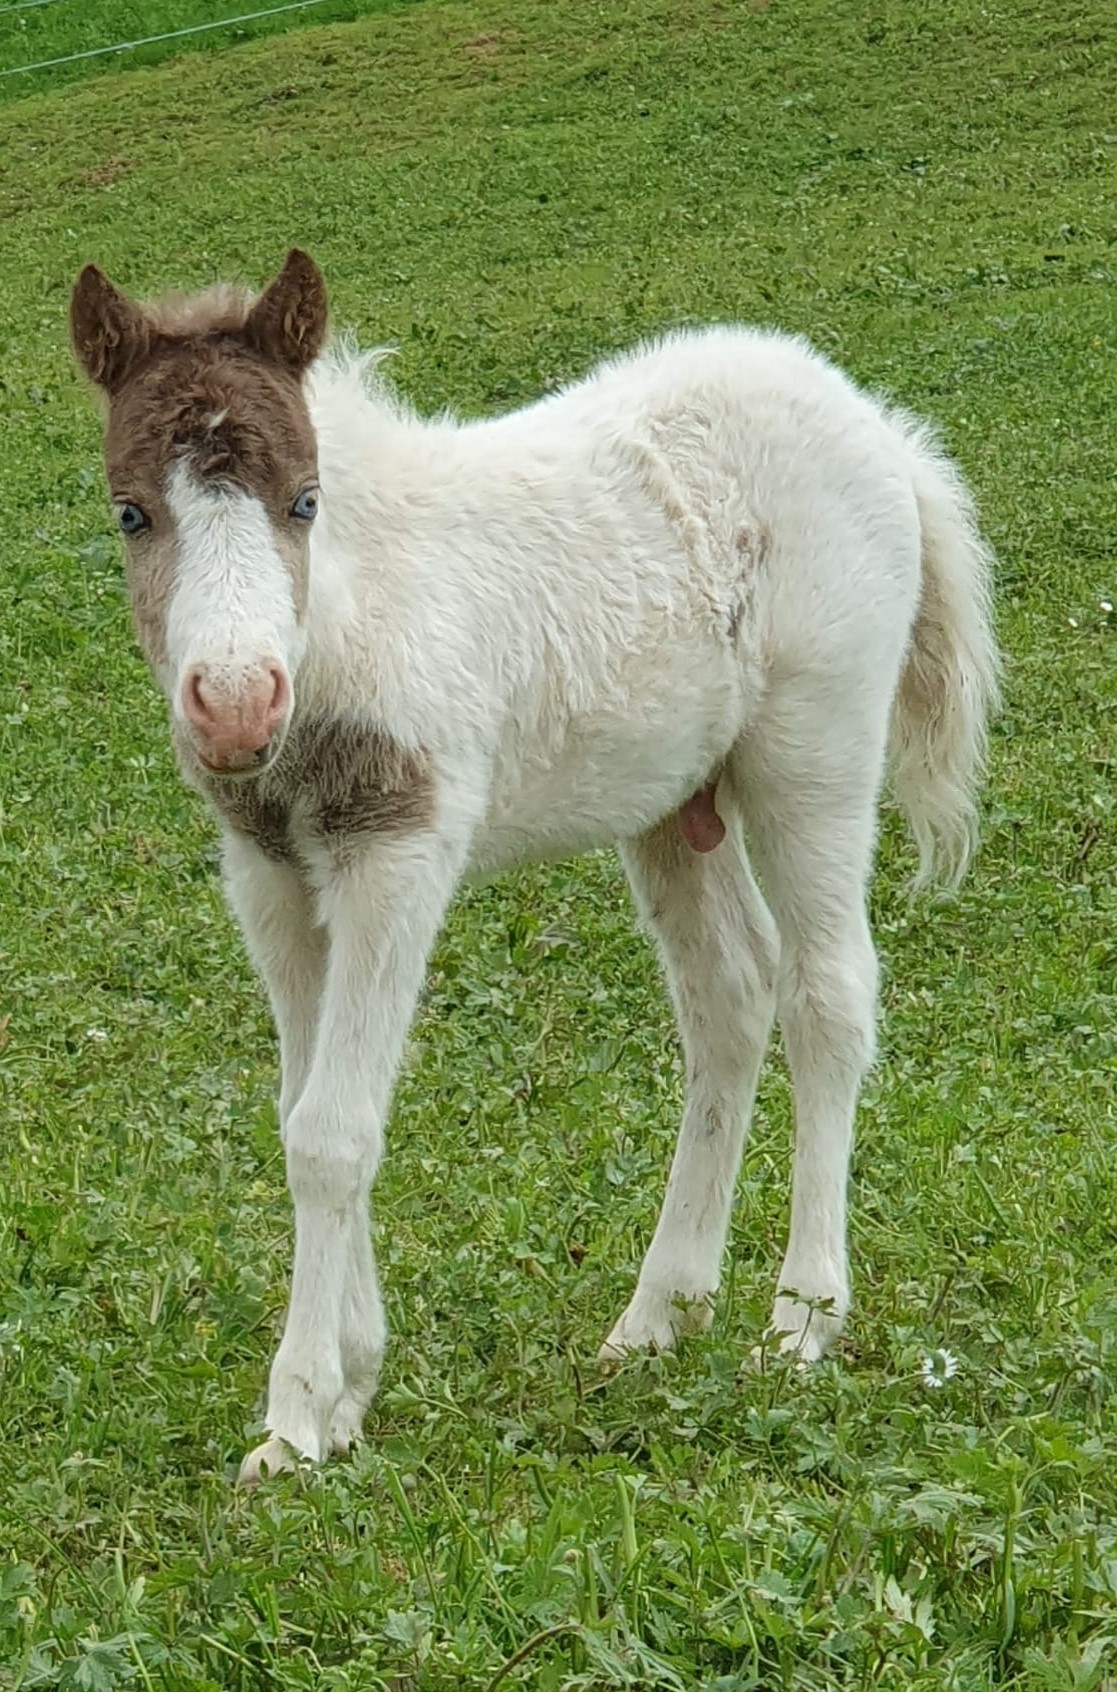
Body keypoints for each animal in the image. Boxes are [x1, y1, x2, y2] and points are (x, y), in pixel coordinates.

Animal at [70, 249, 998, 1482]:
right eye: (132, 512)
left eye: (304, 501)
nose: (232, 702)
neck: (346, 626)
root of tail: (882, 430)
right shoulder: (268, 874)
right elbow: (298, 1106)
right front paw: (351, 1382)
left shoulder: (397, 851)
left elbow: (334, 1132)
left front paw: (297, 1417)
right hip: (672, 798)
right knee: (729, 997)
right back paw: (658, 1316)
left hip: (814, 746)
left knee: (827, 997)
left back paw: (800, 1320)